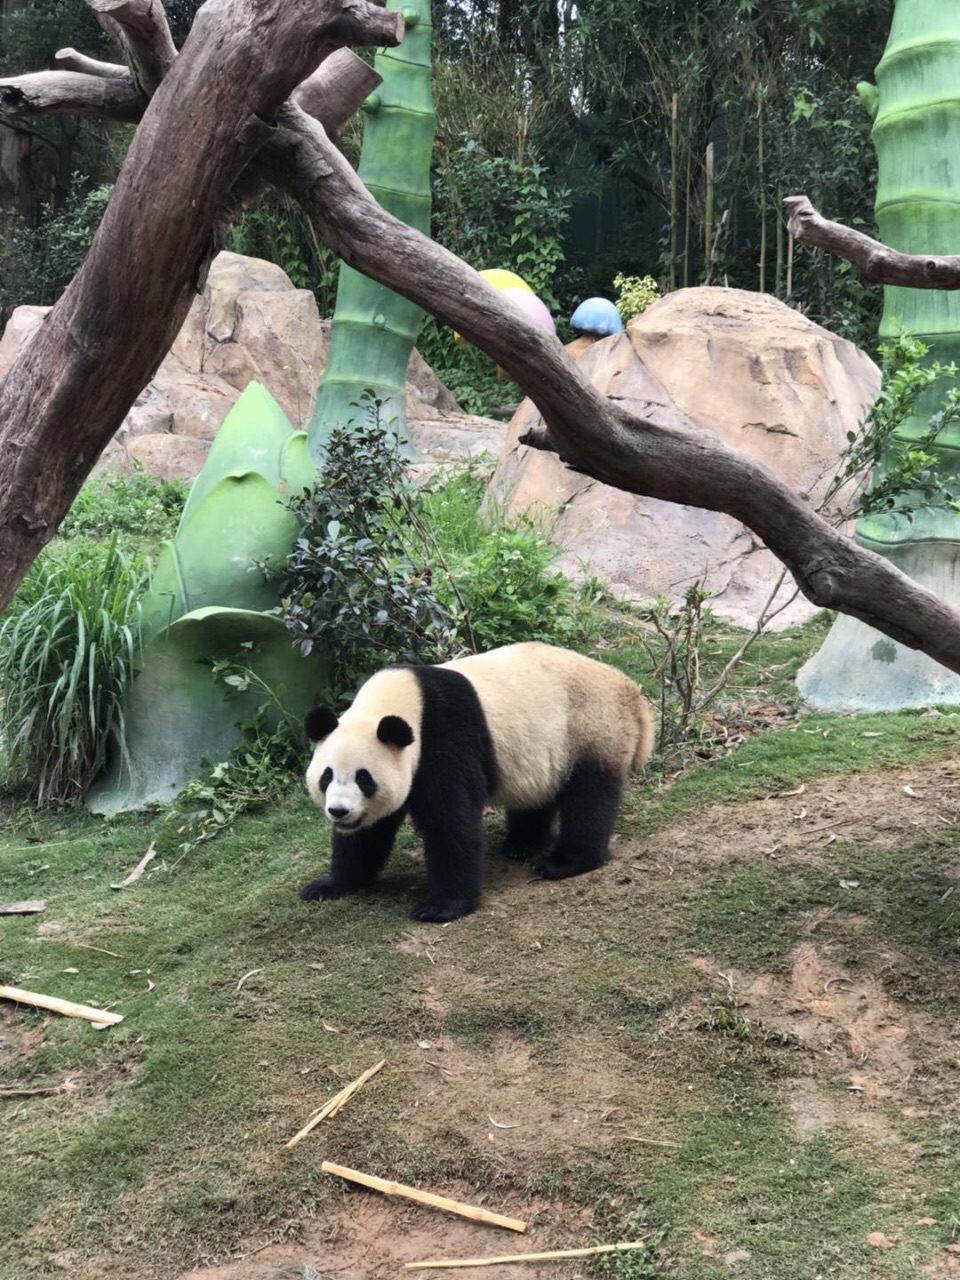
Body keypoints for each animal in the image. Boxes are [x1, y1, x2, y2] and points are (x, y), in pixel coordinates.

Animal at [304, 640, 660, 921]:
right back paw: (521, 844)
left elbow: (452, 822)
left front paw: (441, 907)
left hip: (592, 730)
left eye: (364, 778)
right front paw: (330, 885)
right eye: (327, 776)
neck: (402, 701)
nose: (339, 812)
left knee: (589, 799)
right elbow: (368, 834)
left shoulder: (445, 738)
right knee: (538, 794)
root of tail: (630, 691)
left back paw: (562, 862)